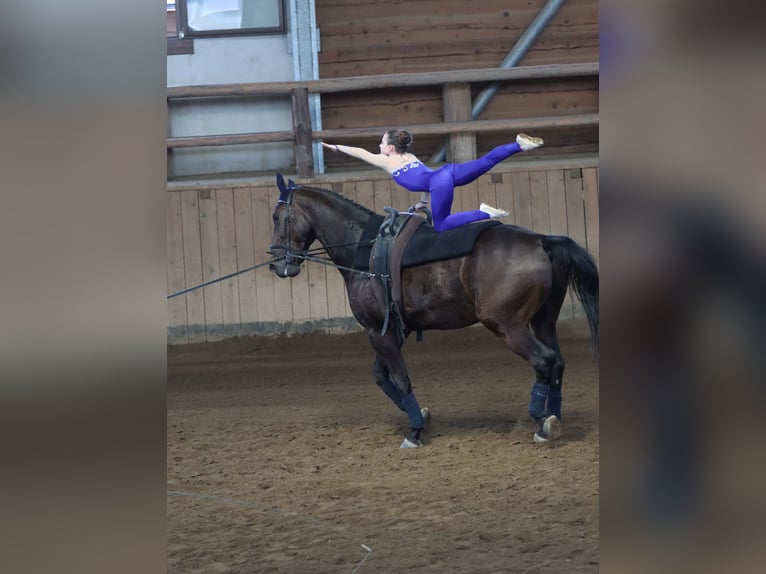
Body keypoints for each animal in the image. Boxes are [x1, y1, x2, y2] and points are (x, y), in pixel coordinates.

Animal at [270, 178, 600, 448]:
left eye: (276, 217)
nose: (276, 263)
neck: (365, 248)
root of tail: (540, 240)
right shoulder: (391, 330)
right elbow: (381, 375)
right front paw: (421, 415)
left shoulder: (377, 331)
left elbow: (400, 378)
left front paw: (415, 431)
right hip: (544, 322)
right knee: (557, 363)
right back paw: (553, 416)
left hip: (509, 326)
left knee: (544, 361)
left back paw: (541, 423)